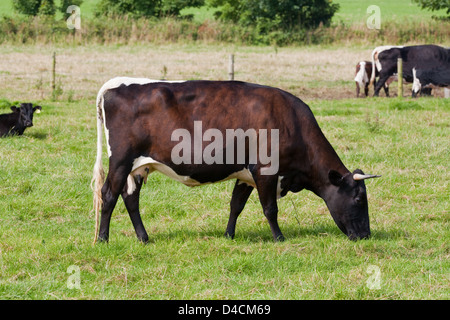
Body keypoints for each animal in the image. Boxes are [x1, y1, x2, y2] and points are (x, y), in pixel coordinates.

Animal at [91, 76, 380, 244]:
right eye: (359, 198)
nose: (366, 235)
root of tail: (117, 83)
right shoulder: (265, 170)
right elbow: (270, 208)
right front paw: (279, 238)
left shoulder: (246, 174)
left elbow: (235, 205)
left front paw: (229, 235)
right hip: (120, 161)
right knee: (109, 194)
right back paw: (103, 239)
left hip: (139, 167)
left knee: (130, 198)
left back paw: (144, 238)